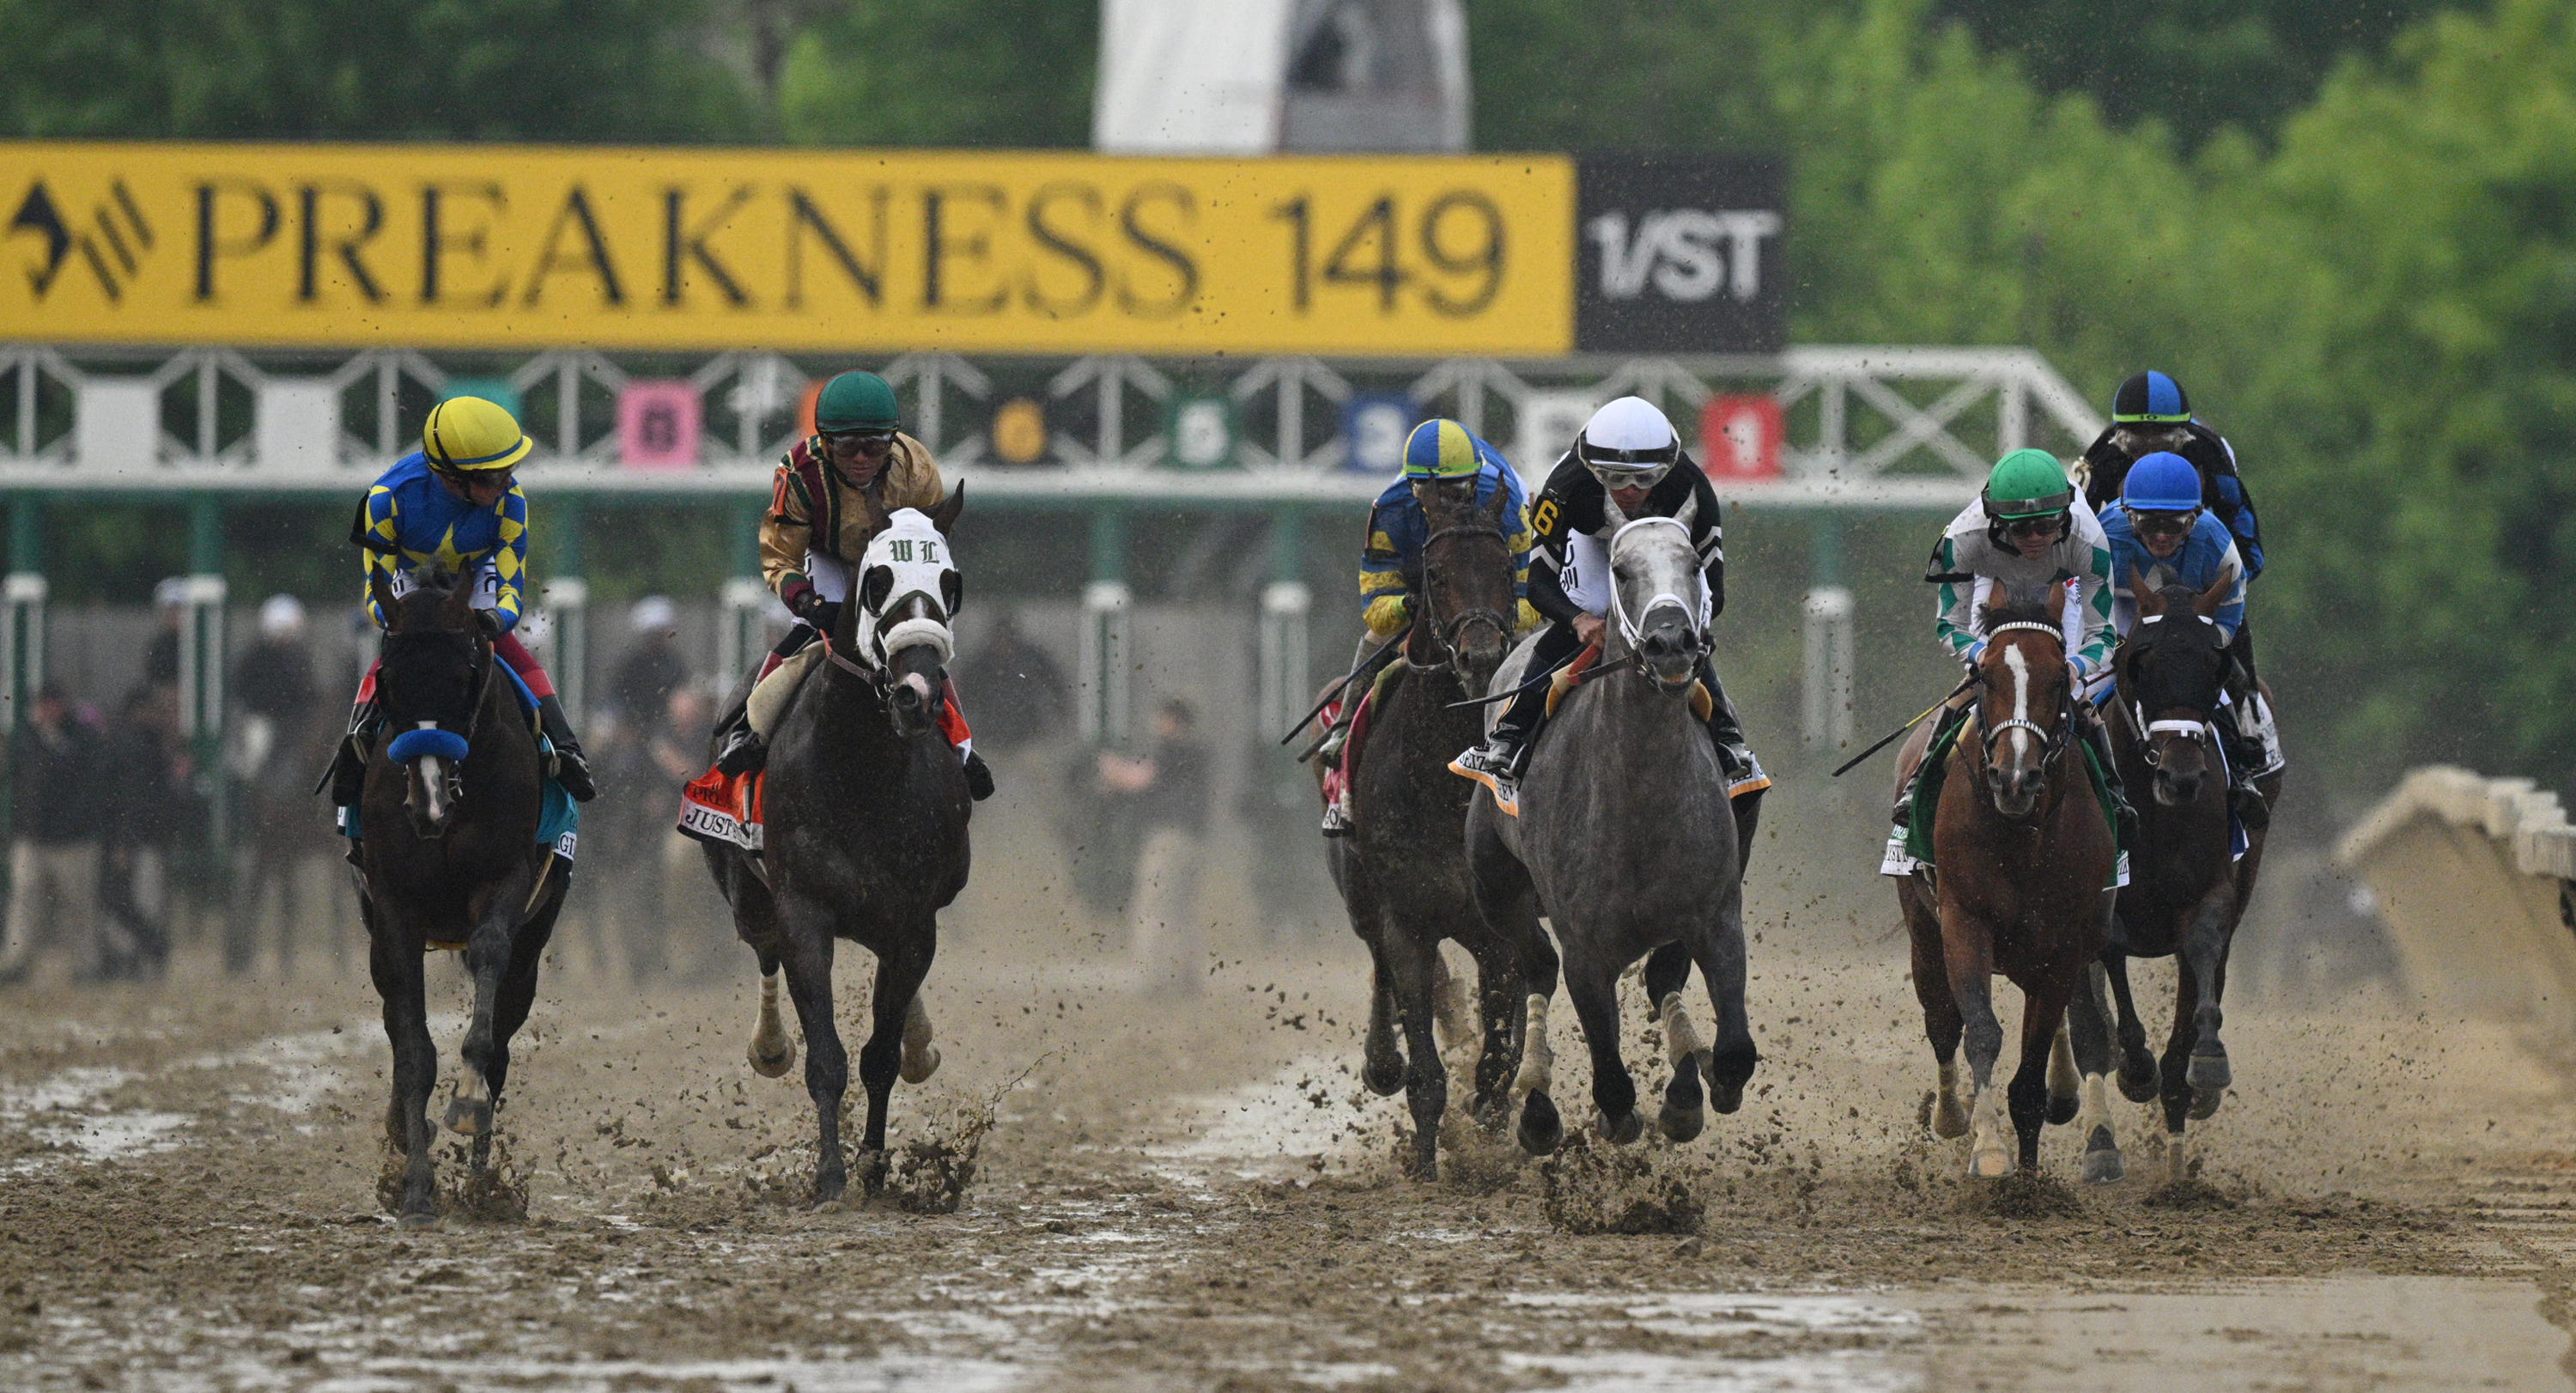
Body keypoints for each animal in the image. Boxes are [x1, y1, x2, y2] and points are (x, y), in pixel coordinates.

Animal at [353, 569, 569, 1220]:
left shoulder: (507, 879)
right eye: (390, 682)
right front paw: (416, 1185)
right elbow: (412, 1051)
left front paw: (467, 1102)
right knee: (394, 1020)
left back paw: (480, 1184)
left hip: (535, 939)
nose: (428, 804)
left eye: (461, 677)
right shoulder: (394, 907)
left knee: (501, 1041)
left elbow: (489, 958)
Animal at [1319, 473, 1535, 1179]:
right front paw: (1425, 1162)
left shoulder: (1497, 931)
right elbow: (1424, 1062)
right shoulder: (1406, 920)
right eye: (1434, 573)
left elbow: (1500, 1048)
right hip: (1359, 895)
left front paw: (1489, 1118)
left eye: (1504, 568)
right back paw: (1381, 1061)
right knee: (1381, 968)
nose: (1482, 655)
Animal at [1473, 509, 1752, 1153]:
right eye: (1621, 571)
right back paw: (1537, 1107)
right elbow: (1612, 1083)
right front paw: (1612, 1116)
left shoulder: (1716, 916)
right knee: (1536, 969)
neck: (1639, 803)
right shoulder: (1585, 947)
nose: (1671, 643)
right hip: (1496, 890)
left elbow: (1733, 1053)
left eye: (1694, 565)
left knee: (1659, 978)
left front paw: (1691, 1093)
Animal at [1896, 584, 2112, 1174]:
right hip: (1923, 930)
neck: (2020, 834)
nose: (2015, 778)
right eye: (1987, 676)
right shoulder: (1965, 920)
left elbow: (2033, 1068)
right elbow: (1981, 1034)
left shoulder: (2063, 942)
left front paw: (2030, 1175)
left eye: (2059, 678)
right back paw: (1952, 1114)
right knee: (1942, 1022)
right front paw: (1990, 1148)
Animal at [2071, 569, 2277, 1179]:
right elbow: (2109, 956)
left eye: (2217, 664)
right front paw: (2136, 1063)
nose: (2181, 776)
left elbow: (2204, 947)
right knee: (2087, 1025)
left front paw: (2204, 1063)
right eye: (2139, 660)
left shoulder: (2214, 886)